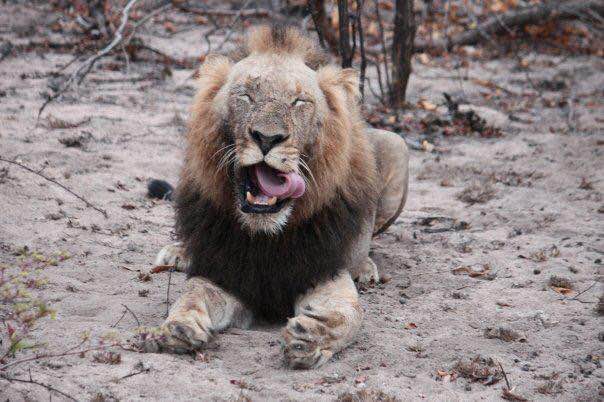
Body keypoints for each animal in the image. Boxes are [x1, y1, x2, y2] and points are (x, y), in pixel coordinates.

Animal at [148, 25, 409, 369]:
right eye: (245, 96)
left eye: (300, 101)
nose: (267, 138)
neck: (267, 236)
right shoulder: (225, 273)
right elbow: (192, 294)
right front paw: (178, 327)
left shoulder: (324, 273)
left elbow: (348, 313)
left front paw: (311, 337)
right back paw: (179, 252)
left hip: (397, 146)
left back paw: (365, 267)